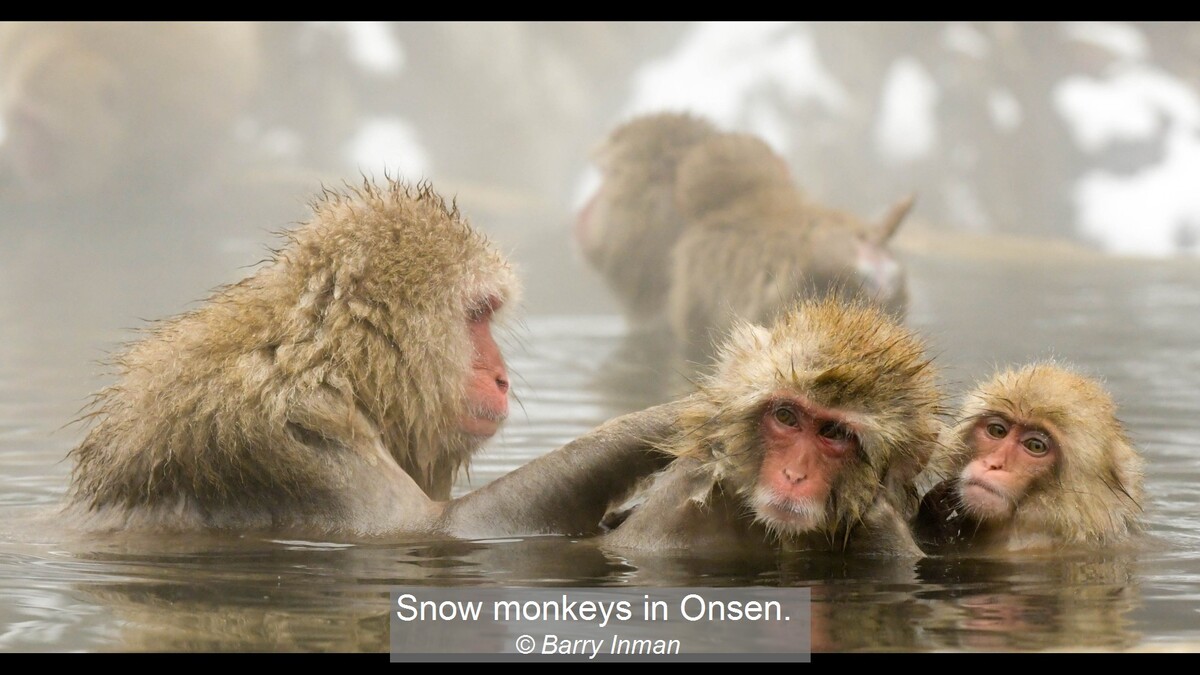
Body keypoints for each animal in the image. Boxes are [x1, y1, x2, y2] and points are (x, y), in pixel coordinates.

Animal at [63, 178, 679, 537]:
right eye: (477, 314)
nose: (501, 377)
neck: (345, 371)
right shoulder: (305, 438)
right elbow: (433, 530)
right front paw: (652, 424)